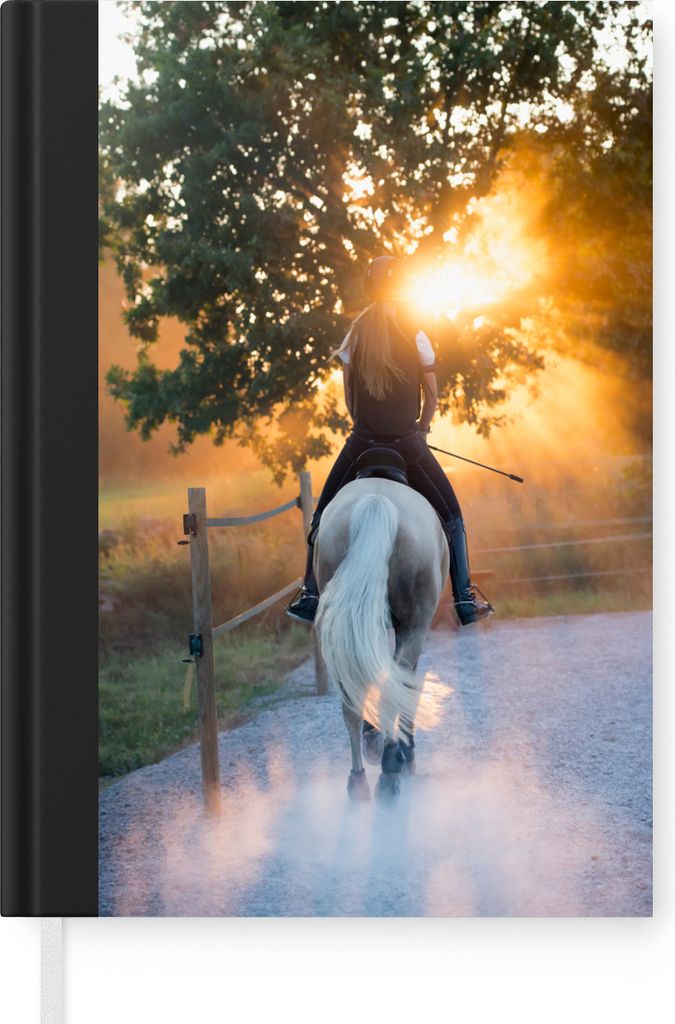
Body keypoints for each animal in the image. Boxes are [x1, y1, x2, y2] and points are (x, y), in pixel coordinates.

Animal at [314, 475, 449, 801]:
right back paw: (390, 767)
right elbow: (406, 687)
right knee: (393, 685)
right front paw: (401, 750)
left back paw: (358, 781)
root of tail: (376, 502)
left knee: (351, 700)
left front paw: (373, 736)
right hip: (415, 625)